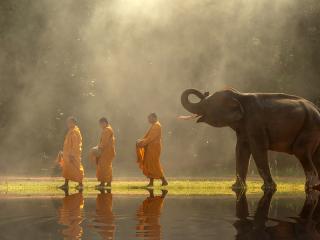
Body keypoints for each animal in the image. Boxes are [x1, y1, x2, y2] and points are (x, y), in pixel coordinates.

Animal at [181, 88, 320, 189]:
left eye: (208, 104)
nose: (205, 92)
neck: (238, 95)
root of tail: (317, 109)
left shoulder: (255, 124)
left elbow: (258, 150)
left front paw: (269, 187)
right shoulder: (243, 130)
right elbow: (240, 150)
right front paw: (237, 187)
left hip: (309, 127)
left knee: (301, 151)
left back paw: (310, 187)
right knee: (315, 156)